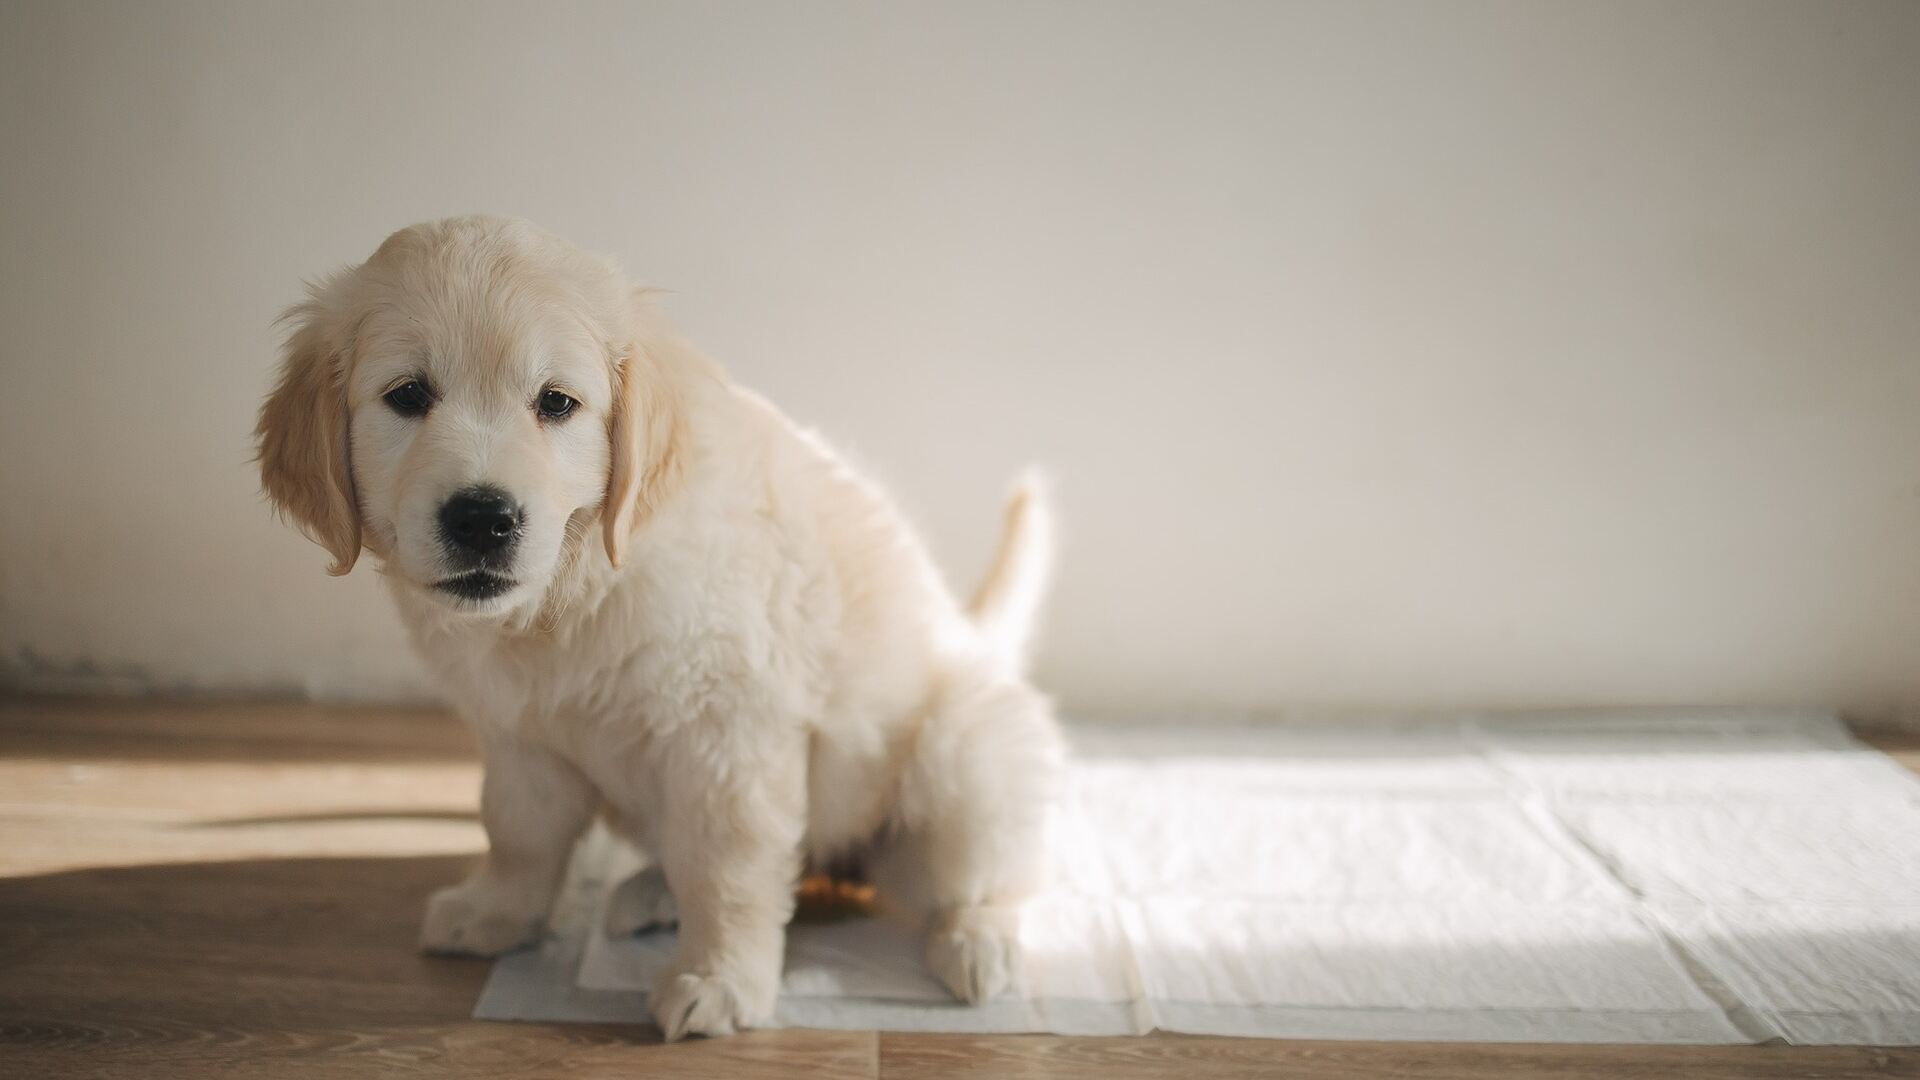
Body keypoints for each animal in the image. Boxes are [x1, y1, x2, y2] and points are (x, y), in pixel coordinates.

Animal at [255, 212, 1067, 1037]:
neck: (572, 595)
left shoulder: (727, 734)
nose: (482, 518)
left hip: (962, 756)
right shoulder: (518, 735)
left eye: (556, 403)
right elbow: (517, 831)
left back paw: (978, 942)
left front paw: (720, 980)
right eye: (409, 395)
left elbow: (724, 866)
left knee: (988, 873)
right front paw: (499, 913)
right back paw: (649, 892)